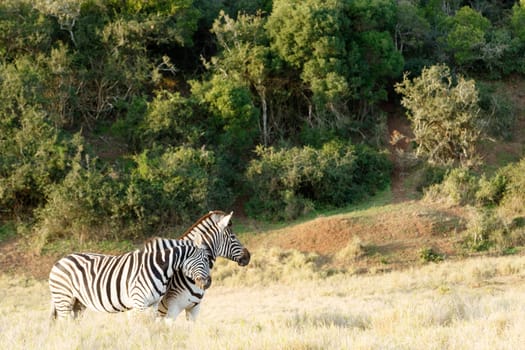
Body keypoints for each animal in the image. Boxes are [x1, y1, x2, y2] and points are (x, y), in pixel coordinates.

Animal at [48, 239, 211, 318]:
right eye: (204, 260)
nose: (209, 282)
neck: (160, 268)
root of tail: (59, 261)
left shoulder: (153, 304)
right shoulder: (139, 302)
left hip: (78, 302)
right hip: (63, 298)